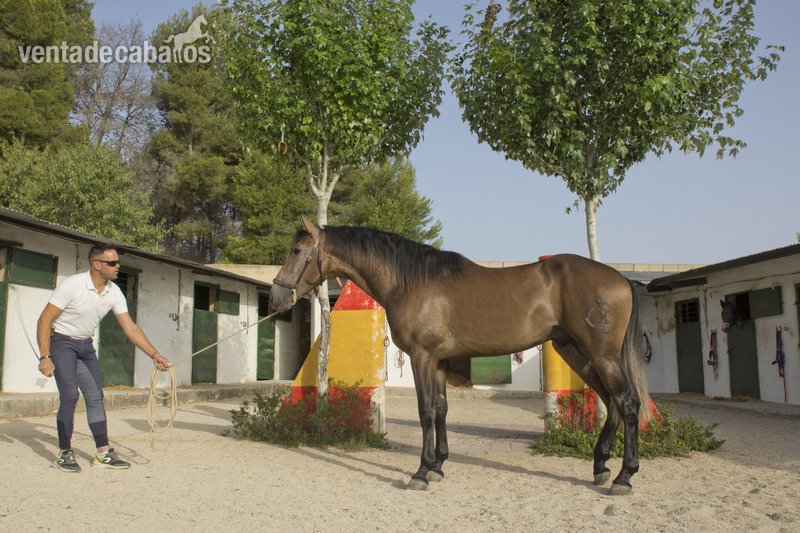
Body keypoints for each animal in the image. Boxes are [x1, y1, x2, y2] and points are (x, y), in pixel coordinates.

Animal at [270, 217, 651, 495]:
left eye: (296, 250)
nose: (276, 297)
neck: (410, 282)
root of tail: (621, 279)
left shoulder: (422, 358)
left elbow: (425, 412)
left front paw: (421, 472)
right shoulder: (438, 361)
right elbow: (441, 410)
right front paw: (439, 465)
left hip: (601, 356)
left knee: (627, 402)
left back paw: (624, 476)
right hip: (576, 352)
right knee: (612, 401)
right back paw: (601, 466)